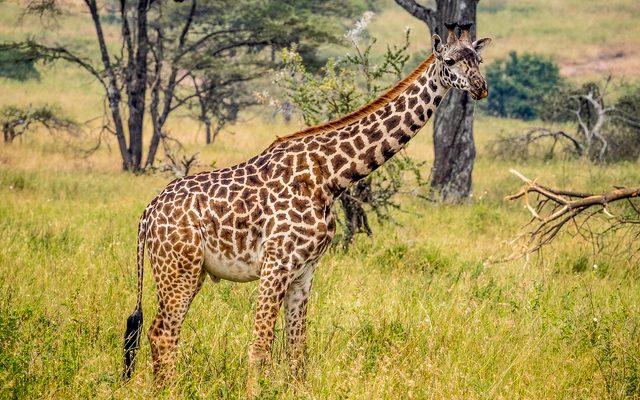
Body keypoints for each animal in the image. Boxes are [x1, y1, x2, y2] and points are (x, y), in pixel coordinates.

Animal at [122, 22, 491, 390]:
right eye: (449, 61)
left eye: (479, 60)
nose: (480, 87)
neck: (330, 177)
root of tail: (146, 214)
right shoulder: (276, 264)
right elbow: (260, 348)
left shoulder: (305, 270)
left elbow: (298, 350)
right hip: (178, 269)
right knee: (162, 333)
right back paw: (167, 390)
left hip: (191, 271)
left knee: (159, 332)